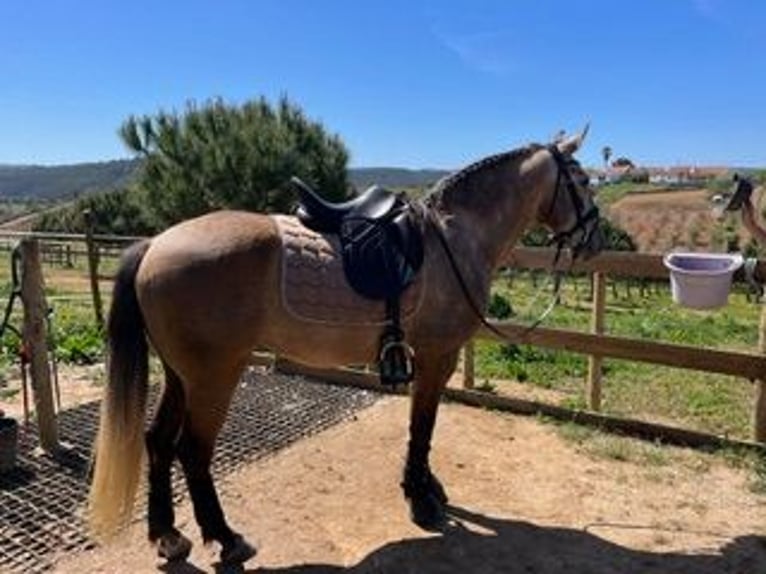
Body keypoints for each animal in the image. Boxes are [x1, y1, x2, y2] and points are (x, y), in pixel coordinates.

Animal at [87, 127, 604, 568]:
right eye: (582, 180)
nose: (596, 239)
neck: (453, 239)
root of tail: (155, 244)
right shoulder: (437, 356)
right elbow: (423, 426)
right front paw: (420, 498)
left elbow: (421, 427)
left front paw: (428, 488)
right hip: (215, 376)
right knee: (192, 451)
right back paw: (228, 539)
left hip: (180, 376)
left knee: (157, 442)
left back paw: (168, 536)